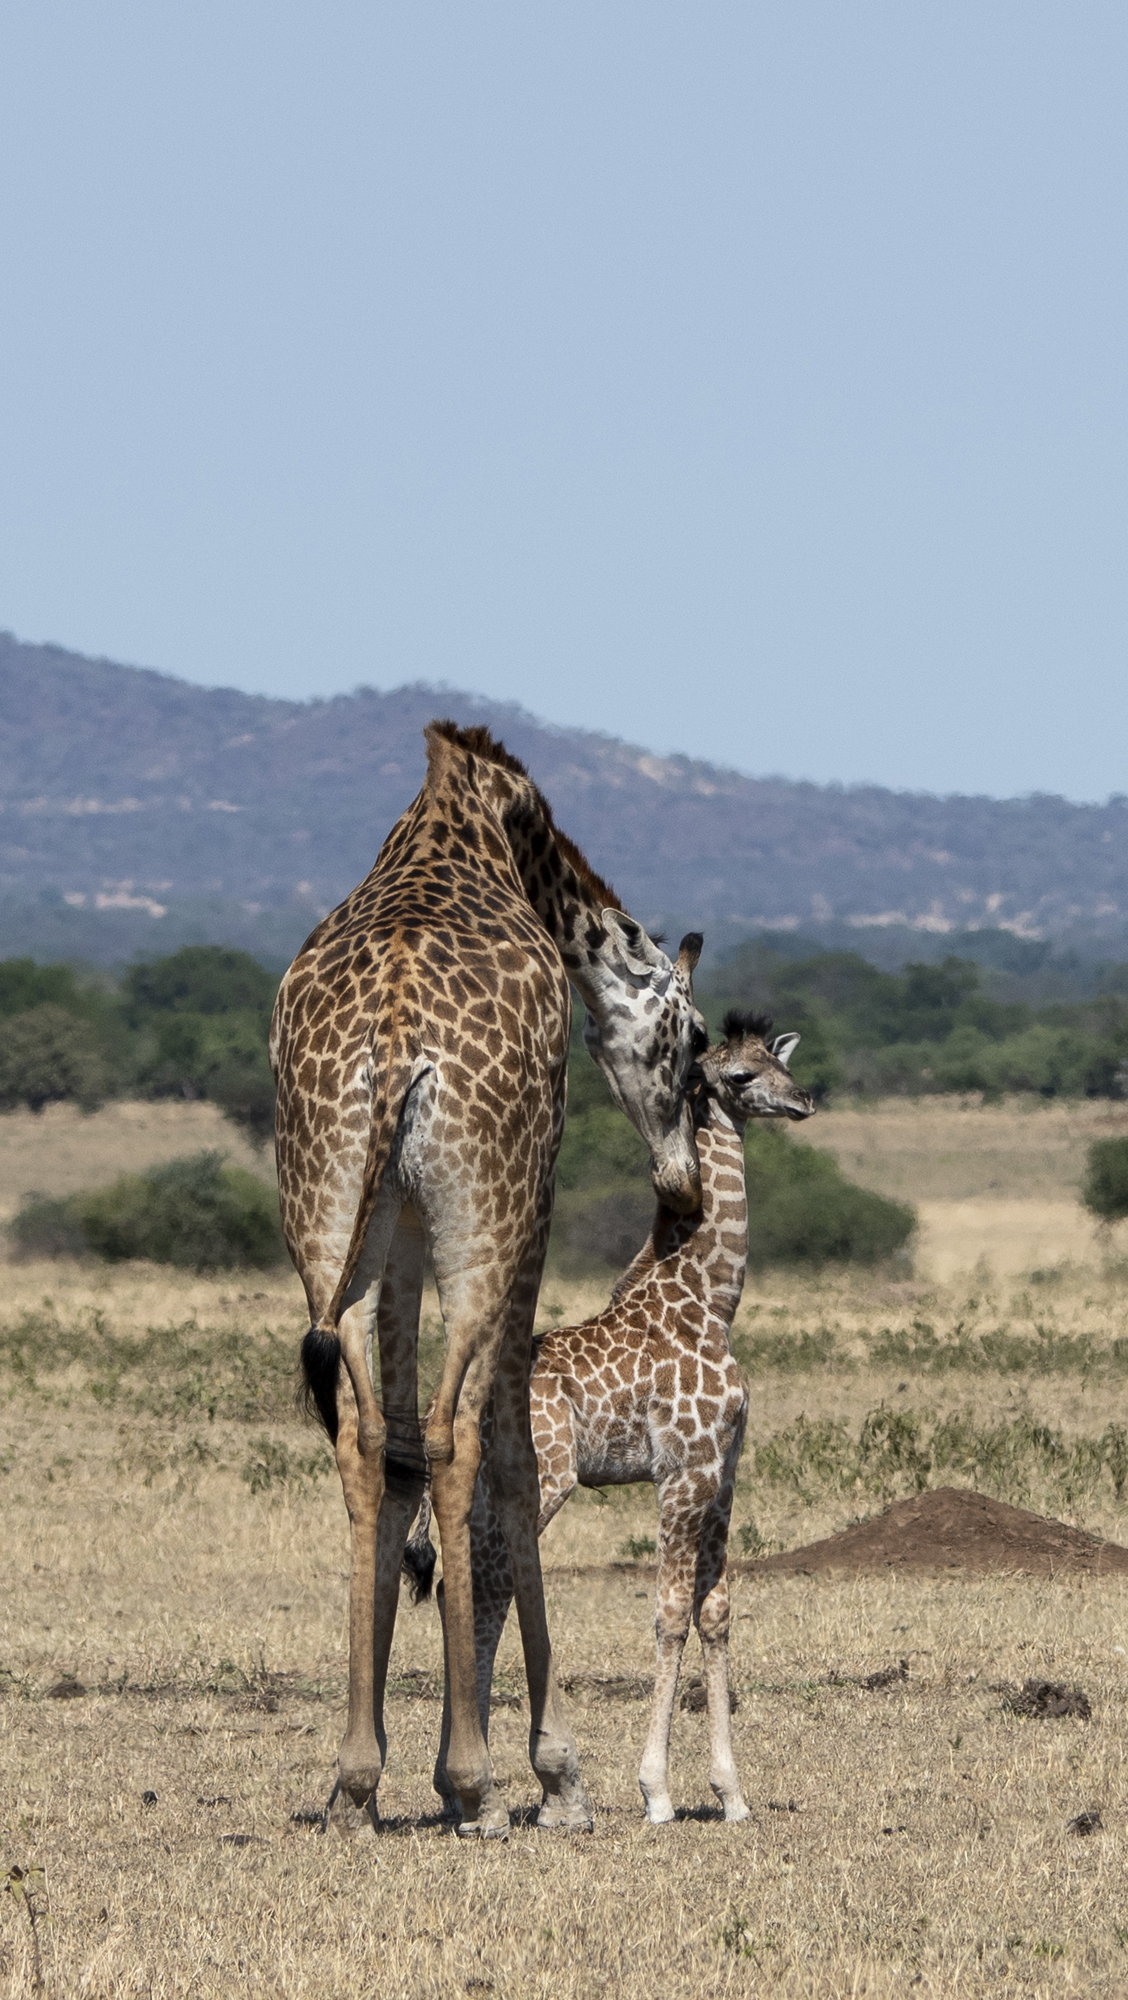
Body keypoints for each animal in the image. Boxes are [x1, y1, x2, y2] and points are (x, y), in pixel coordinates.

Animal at [270, 719, 707, 1838]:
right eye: (688, 1045)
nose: (681, 1181)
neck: (487, 817)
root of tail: (392, 1043)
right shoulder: (531, 1195)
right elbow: (505, 1448)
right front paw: (553, 1772)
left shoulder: (396, 1225)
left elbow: (388, 1453)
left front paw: (373, 1770)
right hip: (488, 1209)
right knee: (458, 1434)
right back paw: (475, 1781)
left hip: (327, 1213)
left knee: (363, 1437)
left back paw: (353, 1776)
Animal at [408, 1010, 814, 1825]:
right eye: (740, 1076)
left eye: (777, 1062)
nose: (803, 1101)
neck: (710, 1303)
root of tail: (455, 1406)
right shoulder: (683, 1469)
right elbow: (669, 1611)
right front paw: (656, 1791)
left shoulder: (722, 1470)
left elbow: (716, 1611)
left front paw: (731, 1794)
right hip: (546, 1480)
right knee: (488, 1586)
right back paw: (481, 1787)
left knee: (464, 1586)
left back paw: (460, 1785)